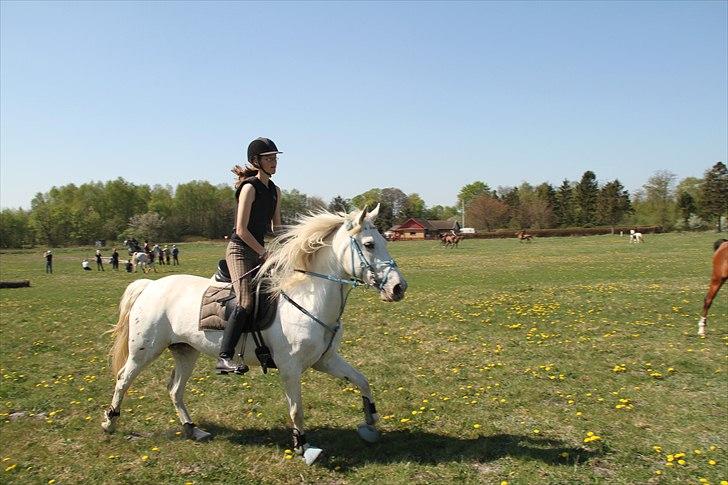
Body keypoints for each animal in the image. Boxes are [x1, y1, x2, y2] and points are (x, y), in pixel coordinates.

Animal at [101, 206, 410, 464]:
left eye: (384, 241)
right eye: (369, 245)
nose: (399, 288)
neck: (308, 298)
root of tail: (150, 285)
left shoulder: (326, 360)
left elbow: (362, 381)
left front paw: (370, 422)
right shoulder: (289, 368)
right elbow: (296, 409)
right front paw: (303, 447)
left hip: (185, 351)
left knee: (175, 389)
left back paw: (193, 430)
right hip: (144, 350)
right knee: (123, 379)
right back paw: (109, 423)